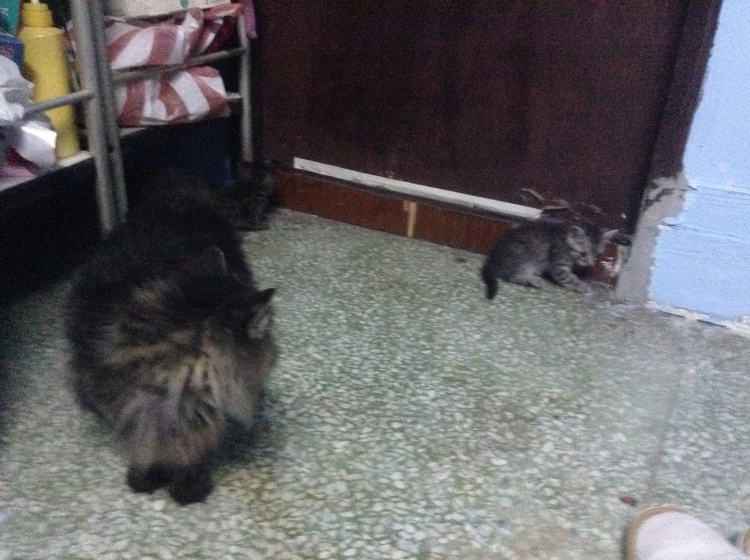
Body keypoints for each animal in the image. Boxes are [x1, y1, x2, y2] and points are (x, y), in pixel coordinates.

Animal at [66, 171, 277, 505]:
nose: (277, 354)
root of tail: (176, 199)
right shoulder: (123, 401)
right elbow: (147, 437)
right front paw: (148, 474)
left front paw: (187, 481)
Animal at [481, 218, 618, 299]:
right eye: (583, 254)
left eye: (598, 255)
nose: (590, 264)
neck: (565, 239)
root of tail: (493, 259)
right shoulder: (558, 264)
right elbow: (569, 278)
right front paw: (584, 286)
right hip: (523, 258)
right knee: (513, 276)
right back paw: (532, 280)